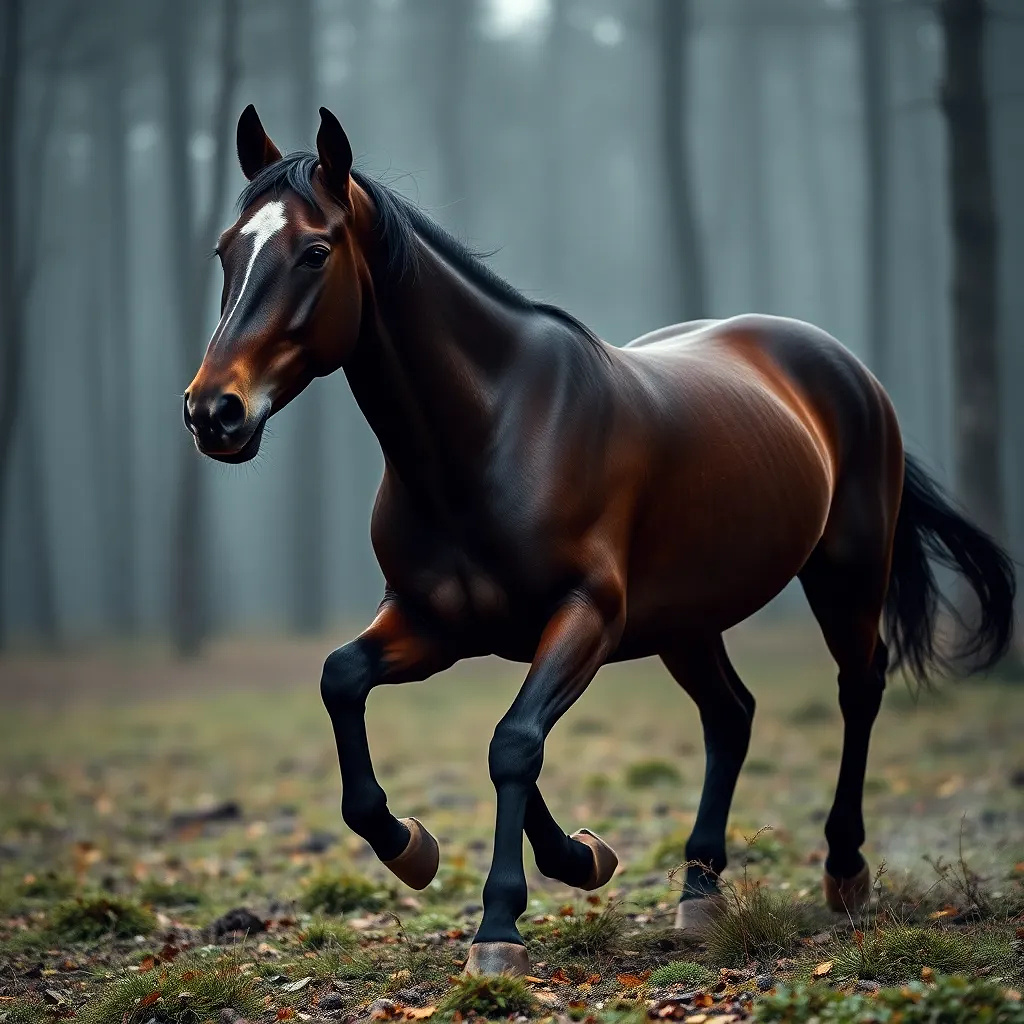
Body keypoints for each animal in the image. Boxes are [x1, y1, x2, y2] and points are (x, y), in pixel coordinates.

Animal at [183, 105, 1016, 976]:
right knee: (732, 716)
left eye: (314, 252)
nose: (214, 412)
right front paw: (433, 846)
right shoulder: (436, 622)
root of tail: (843, 366)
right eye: (226, 249)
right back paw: (699, 889)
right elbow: (347, 682)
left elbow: (514, 743)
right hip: (688, 620)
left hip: (846, 572)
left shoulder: (588, 617)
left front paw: (502, 923)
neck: (493, 433)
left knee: (858, 688)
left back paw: (844, 869)